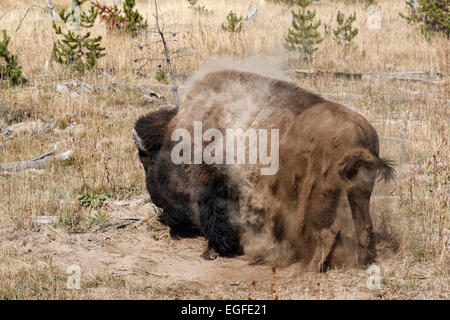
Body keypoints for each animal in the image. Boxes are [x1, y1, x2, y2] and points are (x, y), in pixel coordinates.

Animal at [131, 69, 394, 270]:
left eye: (146, 162)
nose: (159, 207)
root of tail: (361, 129)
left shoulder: (213, 191)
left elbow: (216, 219)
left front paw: (211, 252)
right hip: (359, 190)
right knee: (364, 225)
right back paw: (362, 262)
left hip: (322, 194)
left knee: (329, 230)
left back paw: (309, 268)